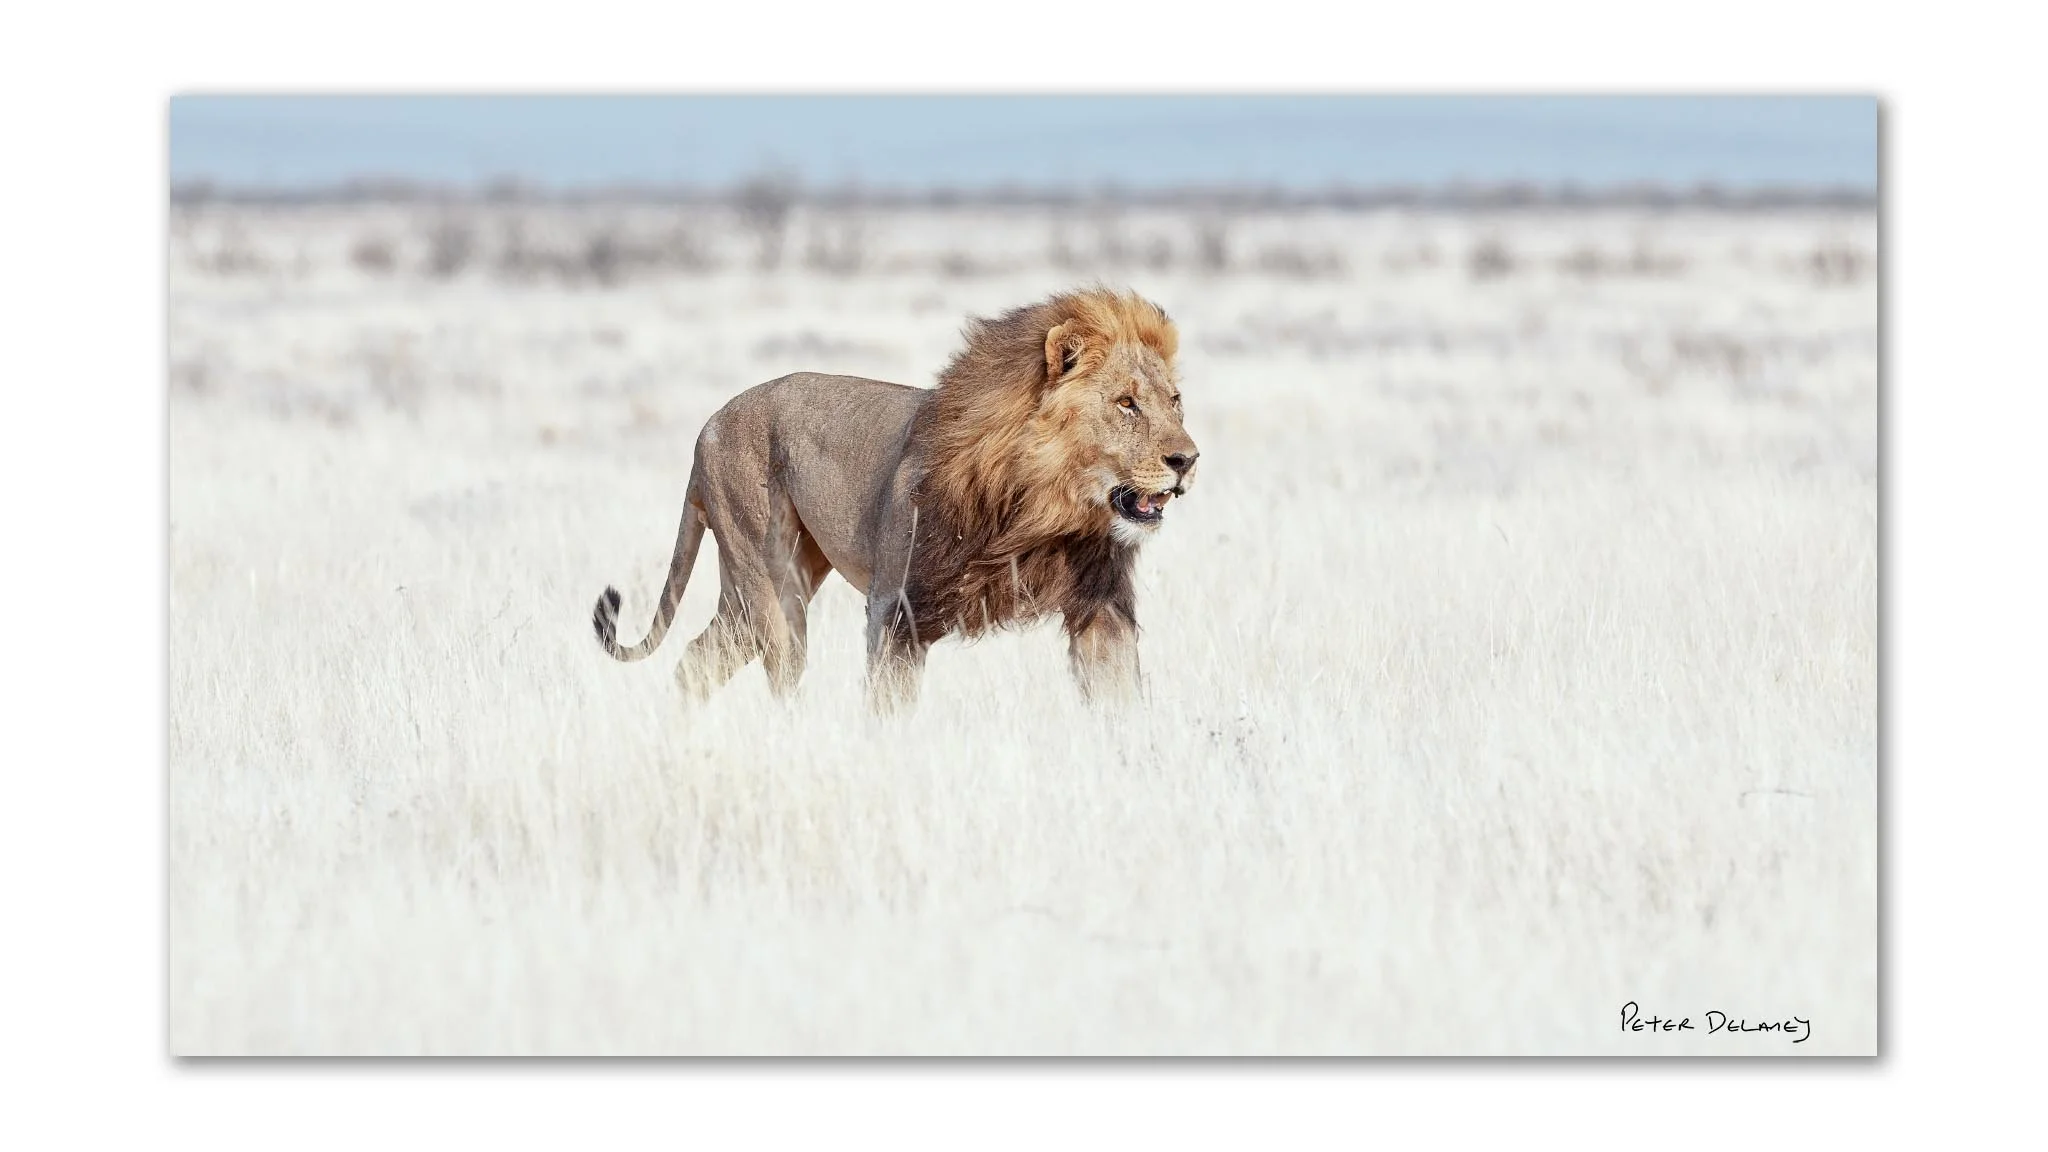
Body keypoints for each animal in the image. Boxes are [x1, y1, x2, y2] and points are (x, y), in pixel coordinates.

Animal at [591, 286, 1200, 711]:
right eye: (1126, 404)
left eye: (1173, 401)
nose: (1187, 460)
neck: (1043, 510)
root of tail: (706, 429)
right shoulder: (897, 607)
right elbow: (889, 709)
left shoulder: (1102, 609)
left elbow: (1121, 702)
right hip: (769, 581)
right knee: (780, 677)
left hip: (756, 589)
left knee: (696, 662)